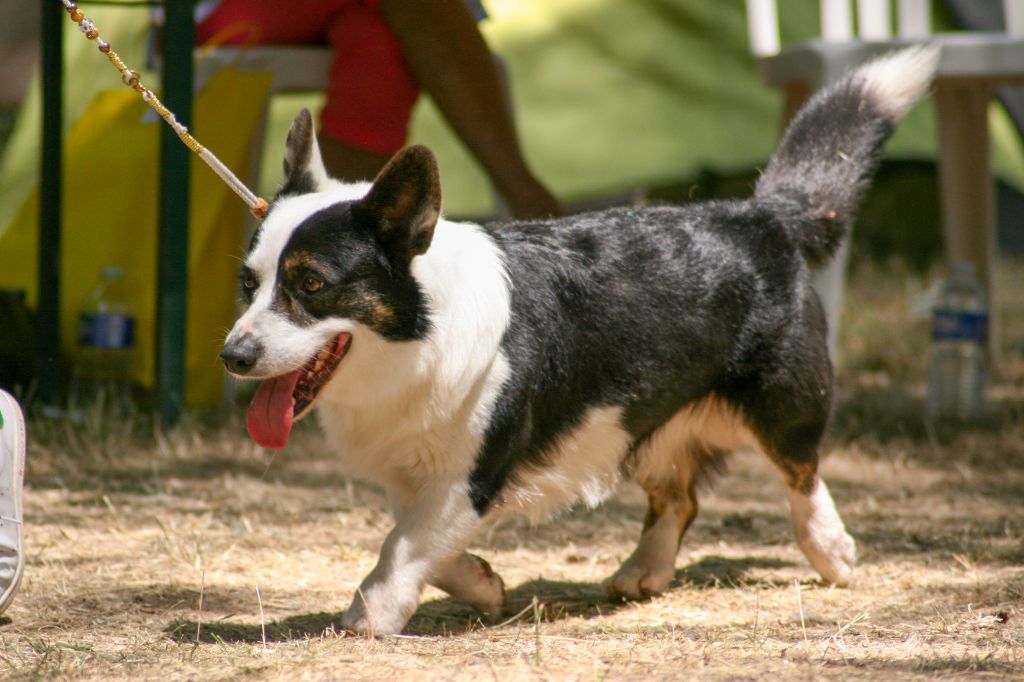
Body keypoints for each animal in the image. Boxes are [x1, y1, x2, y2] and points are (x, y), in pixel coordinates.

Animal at [220, 46, 937, 630]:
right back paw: (641, 572)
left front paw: (372, 613)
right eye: (247, 282)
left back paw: (831, 551)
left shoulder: (472, 472)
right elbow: (423, 539)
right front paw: (481, 585)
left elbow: (403, 545)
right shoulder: (420, 474)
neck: (416, 340)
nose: (233, 356)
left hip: (784, 398)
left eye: (311, 284)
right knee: (679, 498)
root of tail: (760, 215)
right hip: (636, 421)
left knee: (802, 472)